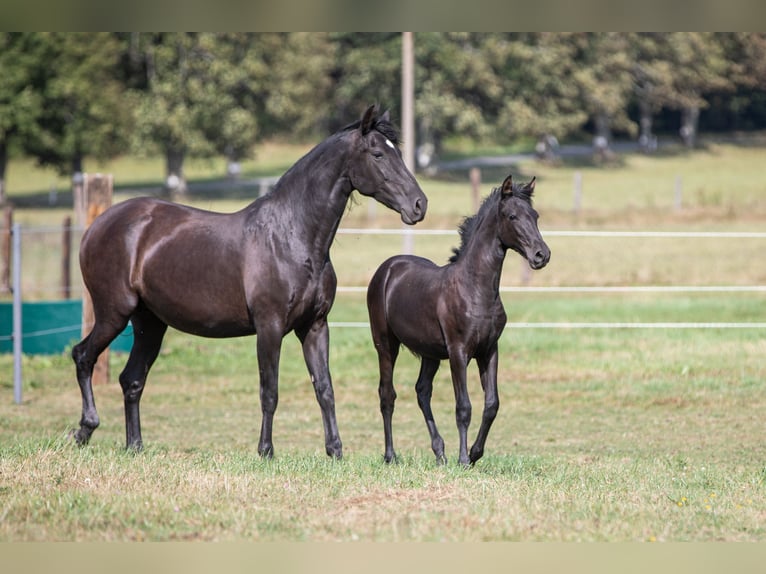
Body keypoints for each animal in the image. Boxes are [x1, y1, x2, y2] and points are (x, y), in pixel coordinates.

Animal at [73, 106, 428, 462]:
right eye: (378, 154)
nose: (419, 205)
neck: (291, 237)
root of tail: (97, 226)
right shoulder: (269, 327)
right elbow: (269, 391)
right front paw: (266, 451)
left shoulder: (315, 326)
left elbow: (324, 389)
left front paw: (335, 452)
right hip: (114, 314)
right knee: (83, 356)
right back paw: (85, 429)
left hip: (150, 324)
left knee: (131, 380)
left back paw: (134, 445)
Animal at [368, 176, 552, 468]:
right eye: (512, 216)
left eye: (535, 216)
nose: (541, 255)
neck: (475, 288)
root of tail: (387, 268)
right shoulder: (458, 352)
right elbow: (463, 406)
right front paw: (464, 459)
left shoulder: (489, 351)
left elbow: (492, 404)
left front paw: (475, 453)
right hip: (385, 345)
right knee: (387, 394)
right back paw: (391, 456)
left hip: (430, 353)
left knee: (422, 391)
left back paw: (439, 452)